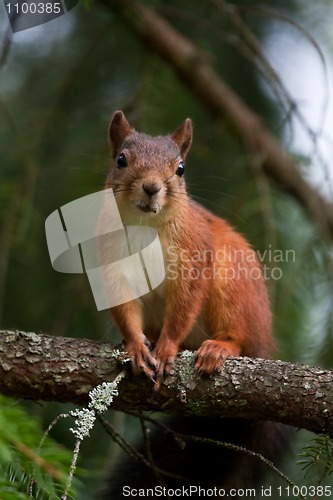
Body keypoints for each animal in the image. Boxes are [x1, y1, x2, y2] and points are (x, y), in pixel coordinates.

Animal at [98, 109, 272, 384]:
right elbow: (125, 307)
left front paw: (166, 349)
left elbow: (183, 309)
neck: (145, 225)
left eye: (181, 168)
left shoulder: (192, 257)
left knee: (239, 337)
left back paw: (218, 347)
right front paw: (136, 347)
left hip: (233, 286)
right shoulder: (112, 262)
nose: (151, 187)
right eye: (121, 160)